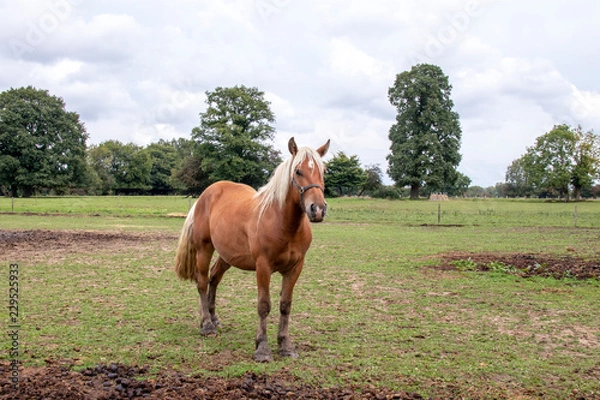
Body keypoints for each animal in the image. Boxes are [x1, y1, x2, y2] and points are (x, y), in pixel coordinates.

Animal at [173, 138, 332, 362]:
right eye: (298, 171)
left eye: (323, 170)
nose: (317, 209)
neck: (282, 222)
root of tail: (206, 194)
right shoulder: (263, 267)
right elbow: (264, 306)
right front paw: (262, 348)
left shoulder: (295, 268)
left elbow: (285, 305)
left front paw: (285, 346)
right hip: (204, 249)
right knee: (202, 281)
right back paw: (207, 325)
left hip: (226, 256)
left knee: (214, 278)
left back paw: (214, 318)